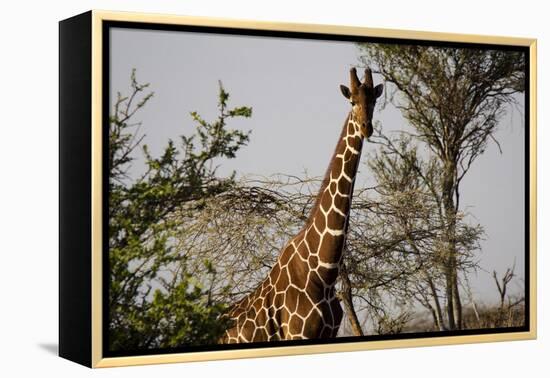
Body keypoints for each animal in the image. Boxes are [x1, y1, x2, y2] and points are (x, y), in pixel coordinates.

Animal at [221, 68, 384, 342]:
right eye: (352, 101)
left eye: (373, 101)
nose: (366, 128)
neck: (323, 273)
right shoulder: (299, 333)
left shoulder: (329, 332)